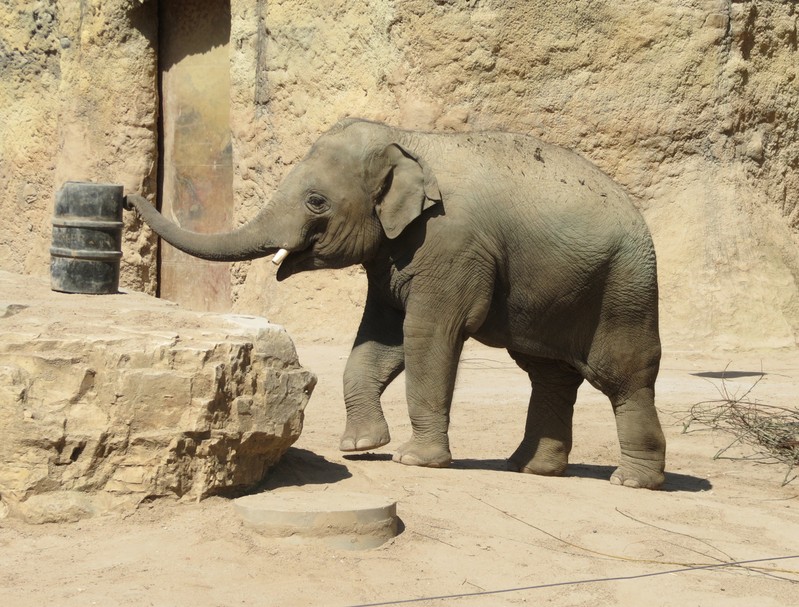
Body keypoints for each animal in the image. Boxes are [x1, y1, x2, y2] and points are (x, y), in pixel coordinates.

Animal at [127, 118, 667, 489]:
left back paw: (631, 480)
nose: (129, 195)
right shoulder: (392, 252)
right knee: (548, 373)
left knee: (622, 375)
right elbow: (380, 339)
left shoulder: (451, 244)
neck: (407, 138)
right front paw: (360, 447)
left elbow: (426, 334)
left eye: (317, 201)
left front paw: (415, 460)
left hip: (625, 285)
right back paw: (531, 468)